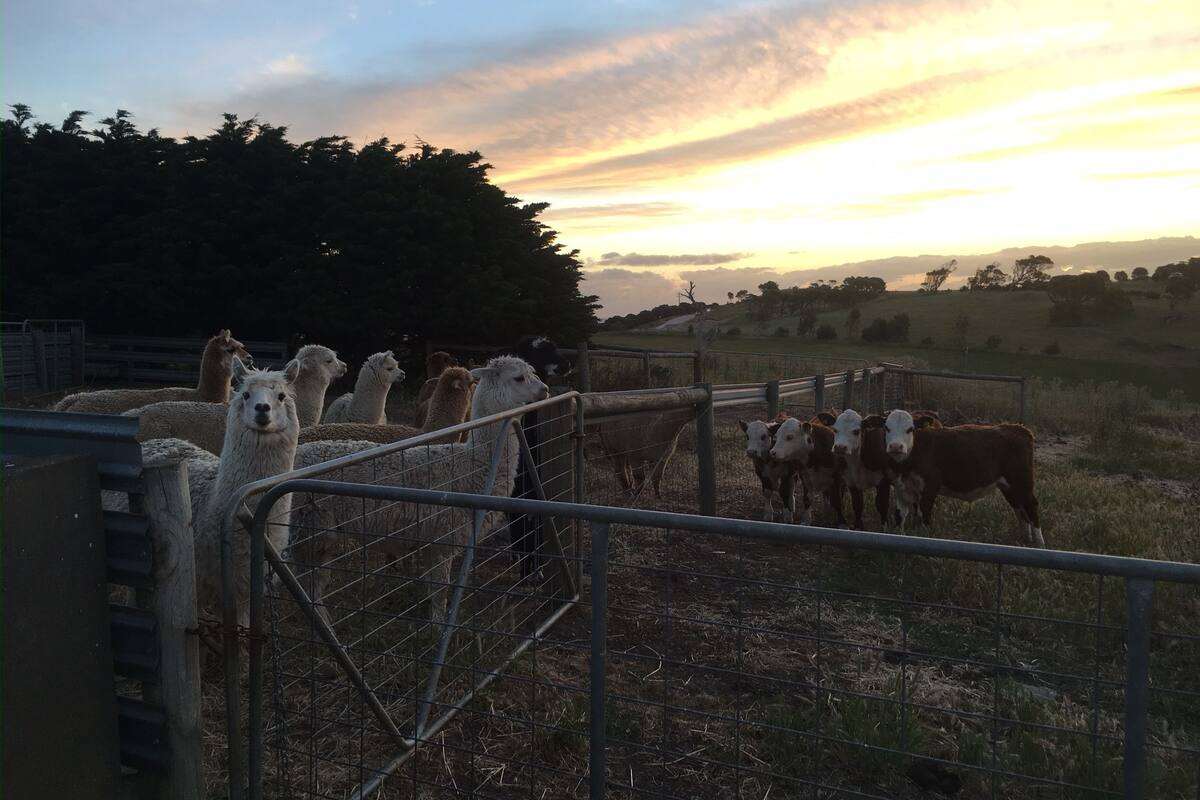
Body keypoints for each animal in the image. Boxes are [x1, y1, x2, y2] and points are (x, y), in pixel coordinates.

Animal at [288, 355, 550, 623]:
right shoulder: (442, 537)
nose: (545, 389)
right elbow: (440, 590)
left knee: (311, 582)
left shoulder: (428, 540)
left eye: (533, 373)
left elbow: (430, 585)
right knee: (306, 582)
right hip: (307, 527)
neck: (469, 465)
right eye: (519, 377)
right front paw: (438, 624)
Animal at [881, 409, 1044, 546]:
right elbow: (900, 517)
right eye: (887, 428)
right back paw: (1025, 539)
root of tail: (1018, 428)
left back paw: (1039, 543)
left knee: (1031, 506)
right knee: (1019, 508)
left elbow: (924, 517)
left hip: (1022, 482)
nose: (896, 446)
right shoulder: (901, 489)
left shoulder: (929, 489)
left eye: (910, 429)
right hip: (1009, 487)